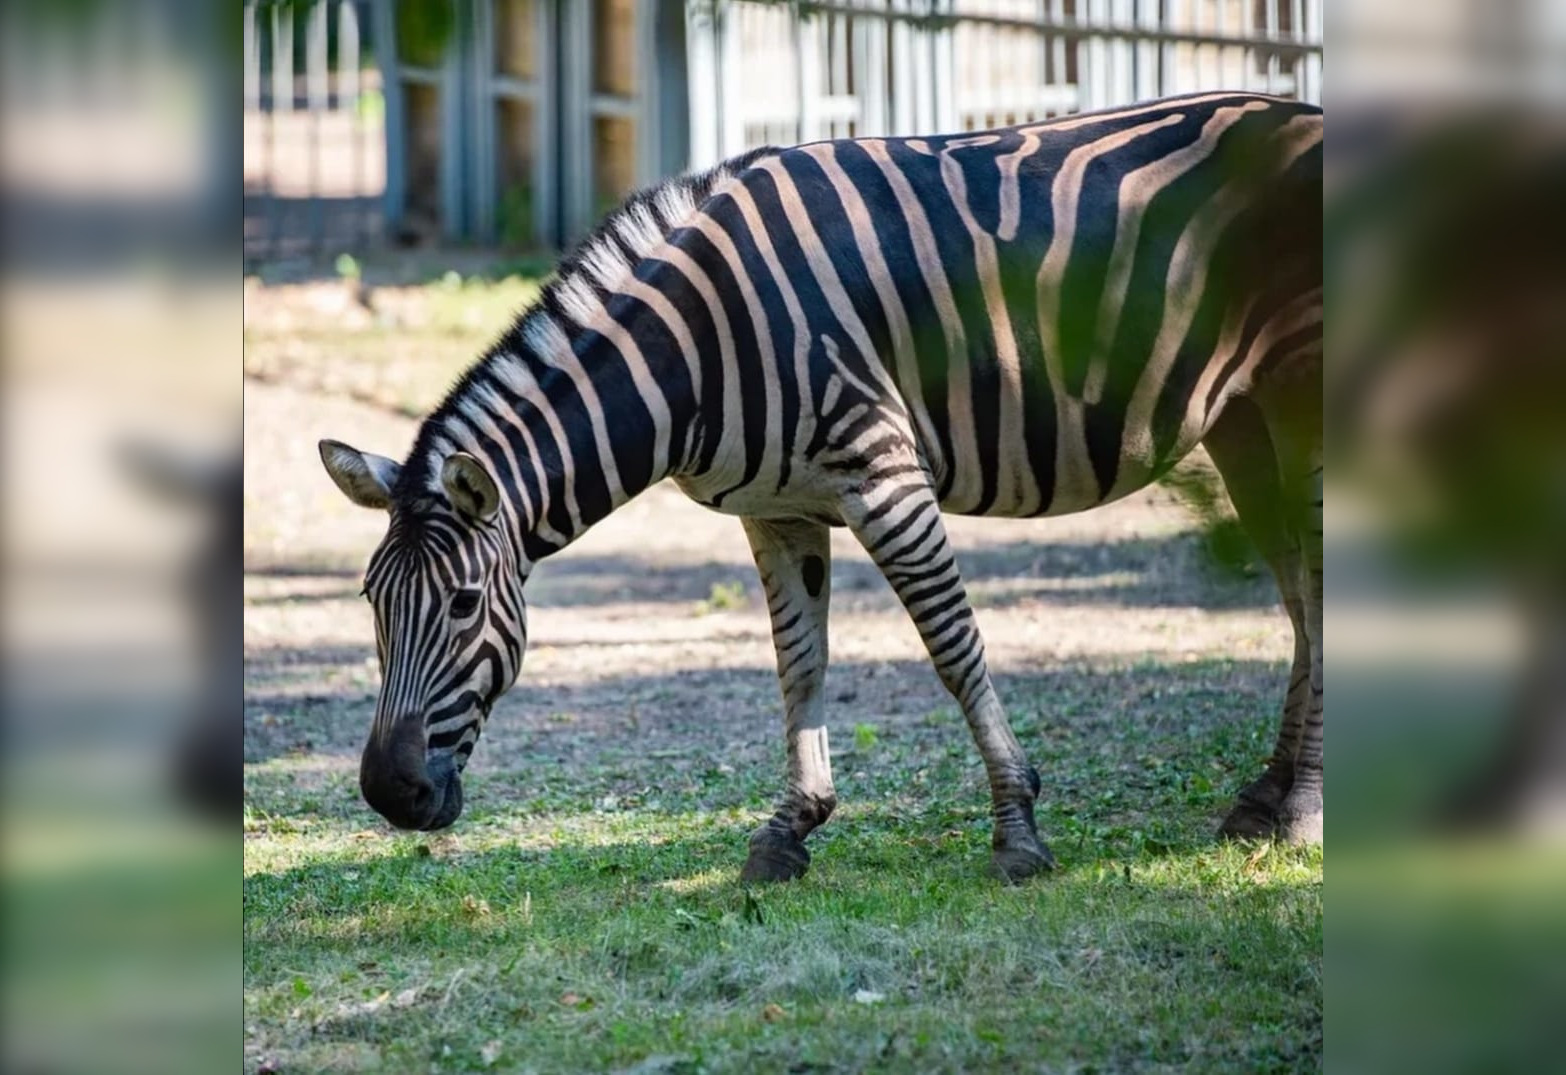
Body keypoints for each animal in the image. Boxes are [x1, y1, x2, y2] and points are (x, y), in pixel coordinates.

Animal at [317, 92, 1321, 883]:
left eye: (460, 603)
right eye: (370, 602)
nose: (389, 792)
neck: (696, 346)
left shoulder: (885, 476)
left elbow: (954, 649)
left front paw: (1018, 828)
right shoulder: (779, 511)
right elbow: (798, 662)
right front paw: (789, 829)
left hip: (1303, 396)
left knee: (1315, 587)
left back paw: (1302, 808)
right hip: (1241, 417)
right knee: (1299, 596)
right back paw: (1267, 796)